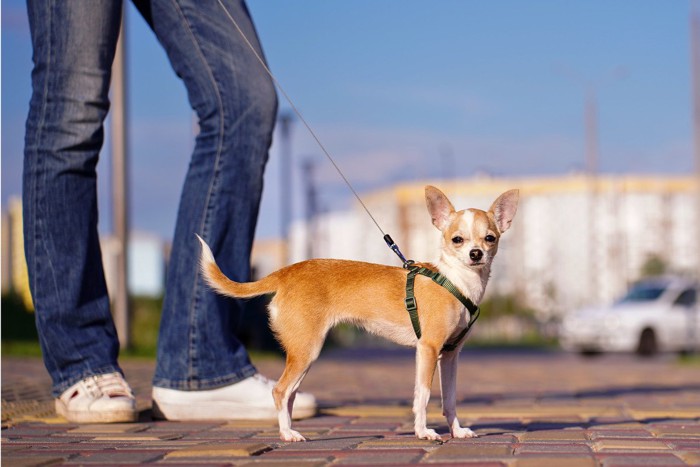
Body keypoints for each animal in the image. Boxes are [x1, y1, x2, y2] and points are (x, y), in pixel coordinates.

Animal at [194, 186, 516, 442]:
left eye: (490, 238)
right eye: (457, 240)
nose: (476, 254)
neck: (457, 280)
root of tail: (286, 272)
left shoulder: (449, 355)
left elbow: (449, 398)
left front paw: (457, 431)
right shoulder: (428, 349)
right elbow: (423, 396)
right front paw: (423, 432)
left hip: (304, 353)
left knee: (290, 393)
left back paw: (290, 428)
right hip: (307, 349)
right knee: (280, 390)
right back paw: (287, 434)